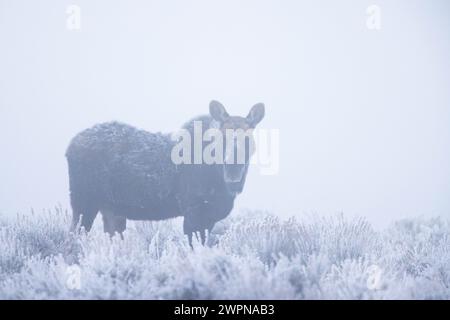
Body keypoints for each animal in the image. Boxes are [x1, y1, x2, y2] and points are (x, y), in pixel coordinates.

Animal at [66, 101, 264, 246]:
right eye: (222, 138)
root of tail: (69, 147)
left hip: (110, 209)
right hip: (83, 203)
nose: (232, 171)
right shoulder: (192, 210)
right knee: (73, 235)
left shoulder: (209, 217)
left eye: (248, 138)